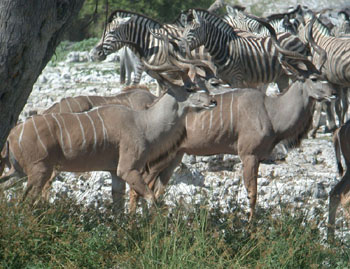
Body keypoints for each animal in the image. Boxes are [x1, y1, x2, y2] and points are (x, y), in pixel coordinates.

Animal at [179, 8, 314, 90]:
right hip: (284, 76)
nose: (180, 46)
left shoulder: (237, 80)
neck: (225, 49)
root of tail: (295, 38)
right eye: (184, 30)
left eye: (192, 30)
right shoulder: (228, 81)